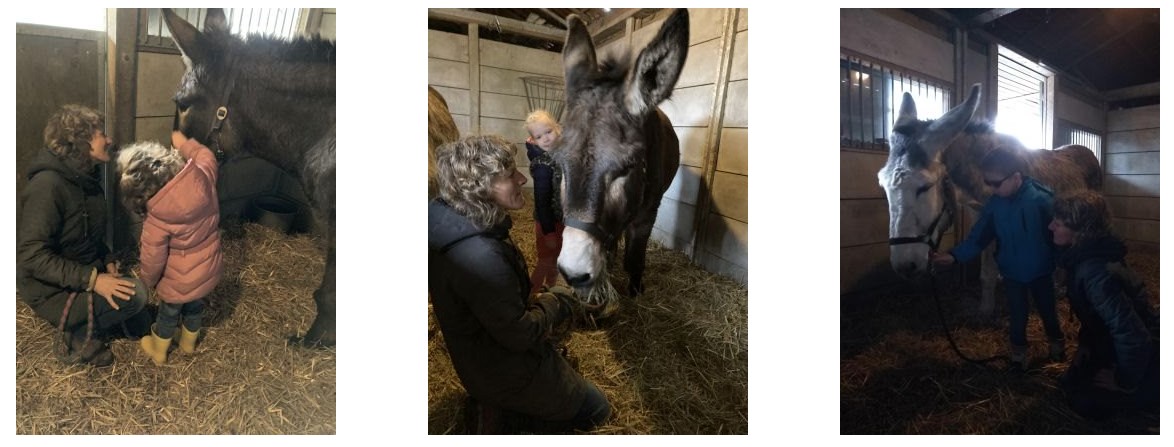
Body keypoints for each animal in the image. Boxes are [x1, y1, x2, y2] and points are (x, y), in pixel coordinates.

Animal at [556, 7, 685, 316]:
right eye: (559, 164)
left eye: (628, 167)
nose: (573, 274)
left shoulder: (648, 212)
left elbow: (635, 257)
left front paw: (636, 291)